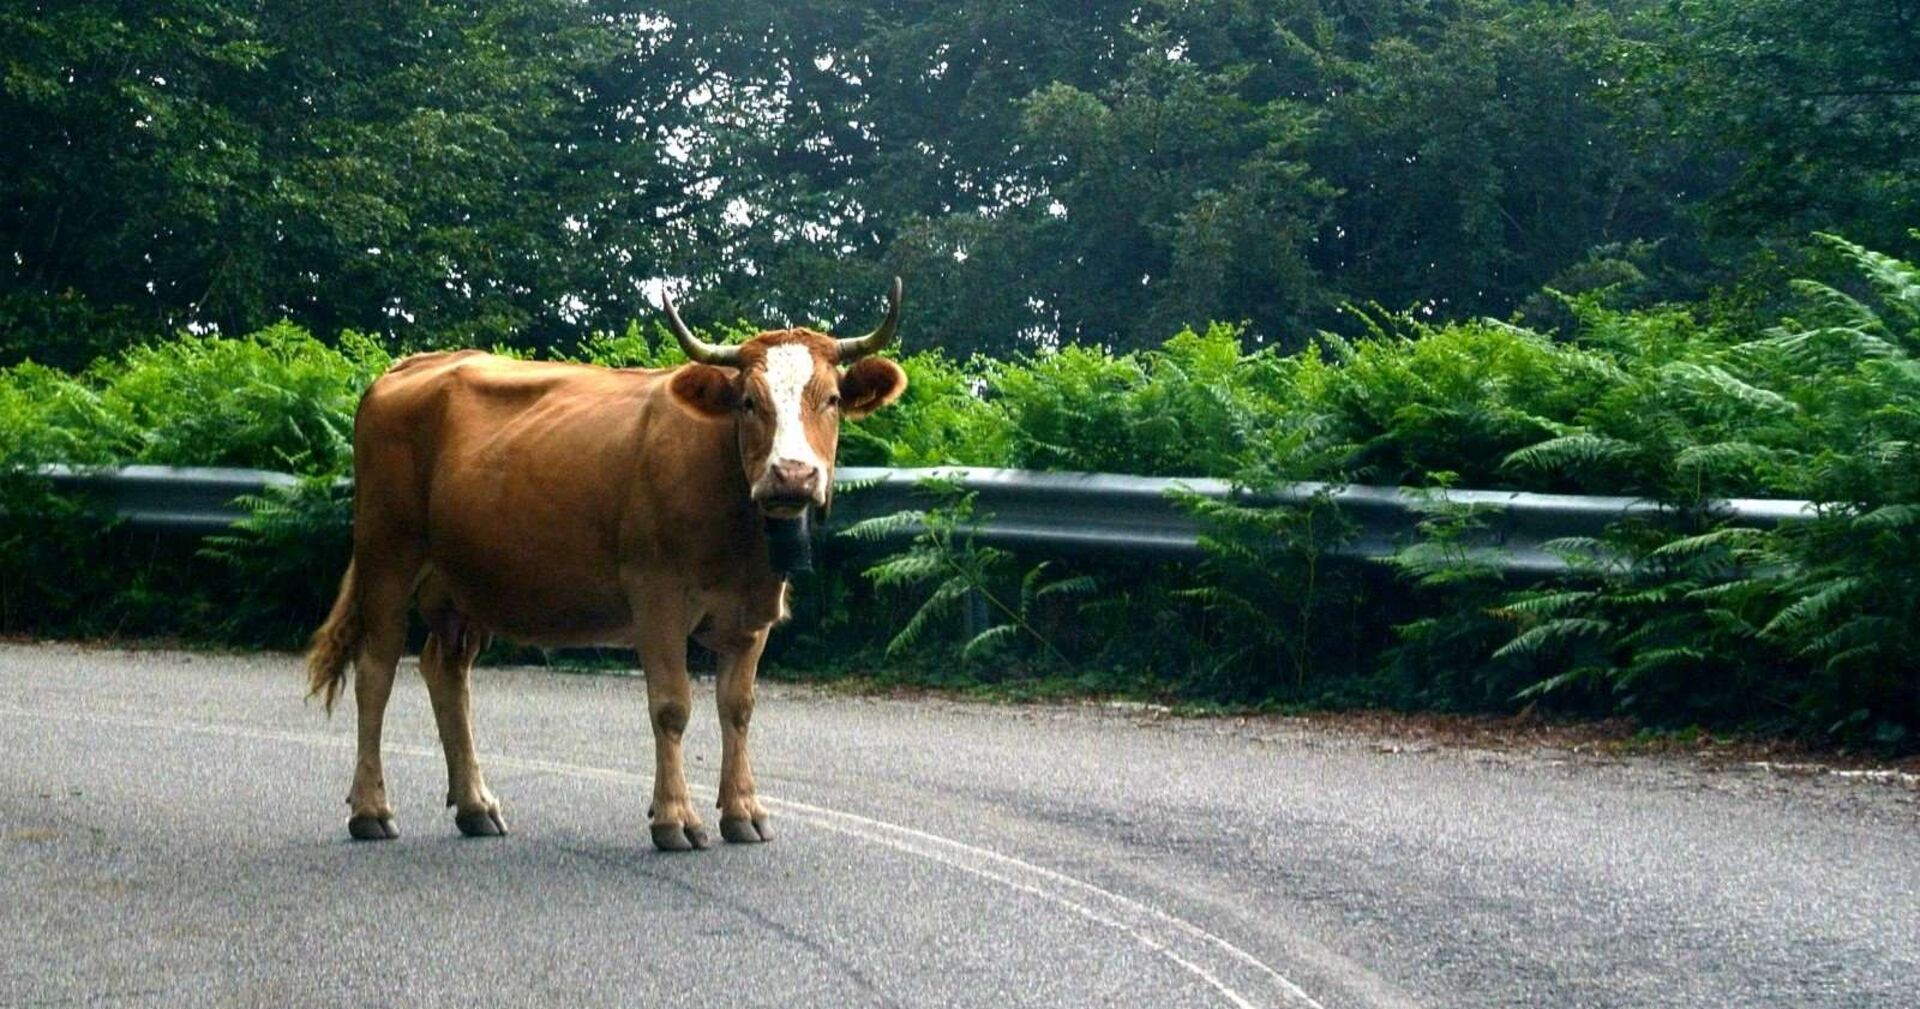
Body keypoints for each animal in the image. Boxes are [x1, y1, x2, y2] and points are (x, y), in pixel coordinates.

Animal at [304, 280, 909, 850]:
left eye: (832, 399)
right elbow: (672, 706)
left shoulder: (751, 612)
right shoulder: (656, 599)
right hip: (387, 555)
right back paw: (371, 809)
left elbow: (737, 708)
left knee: (446, 674)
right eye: (749, 402)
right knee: (376, 672)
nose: (792, 475)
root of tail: (412, 366)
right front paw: (675, 818)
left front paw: (743, 811)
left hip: (461, 585)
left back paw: (476, 805)